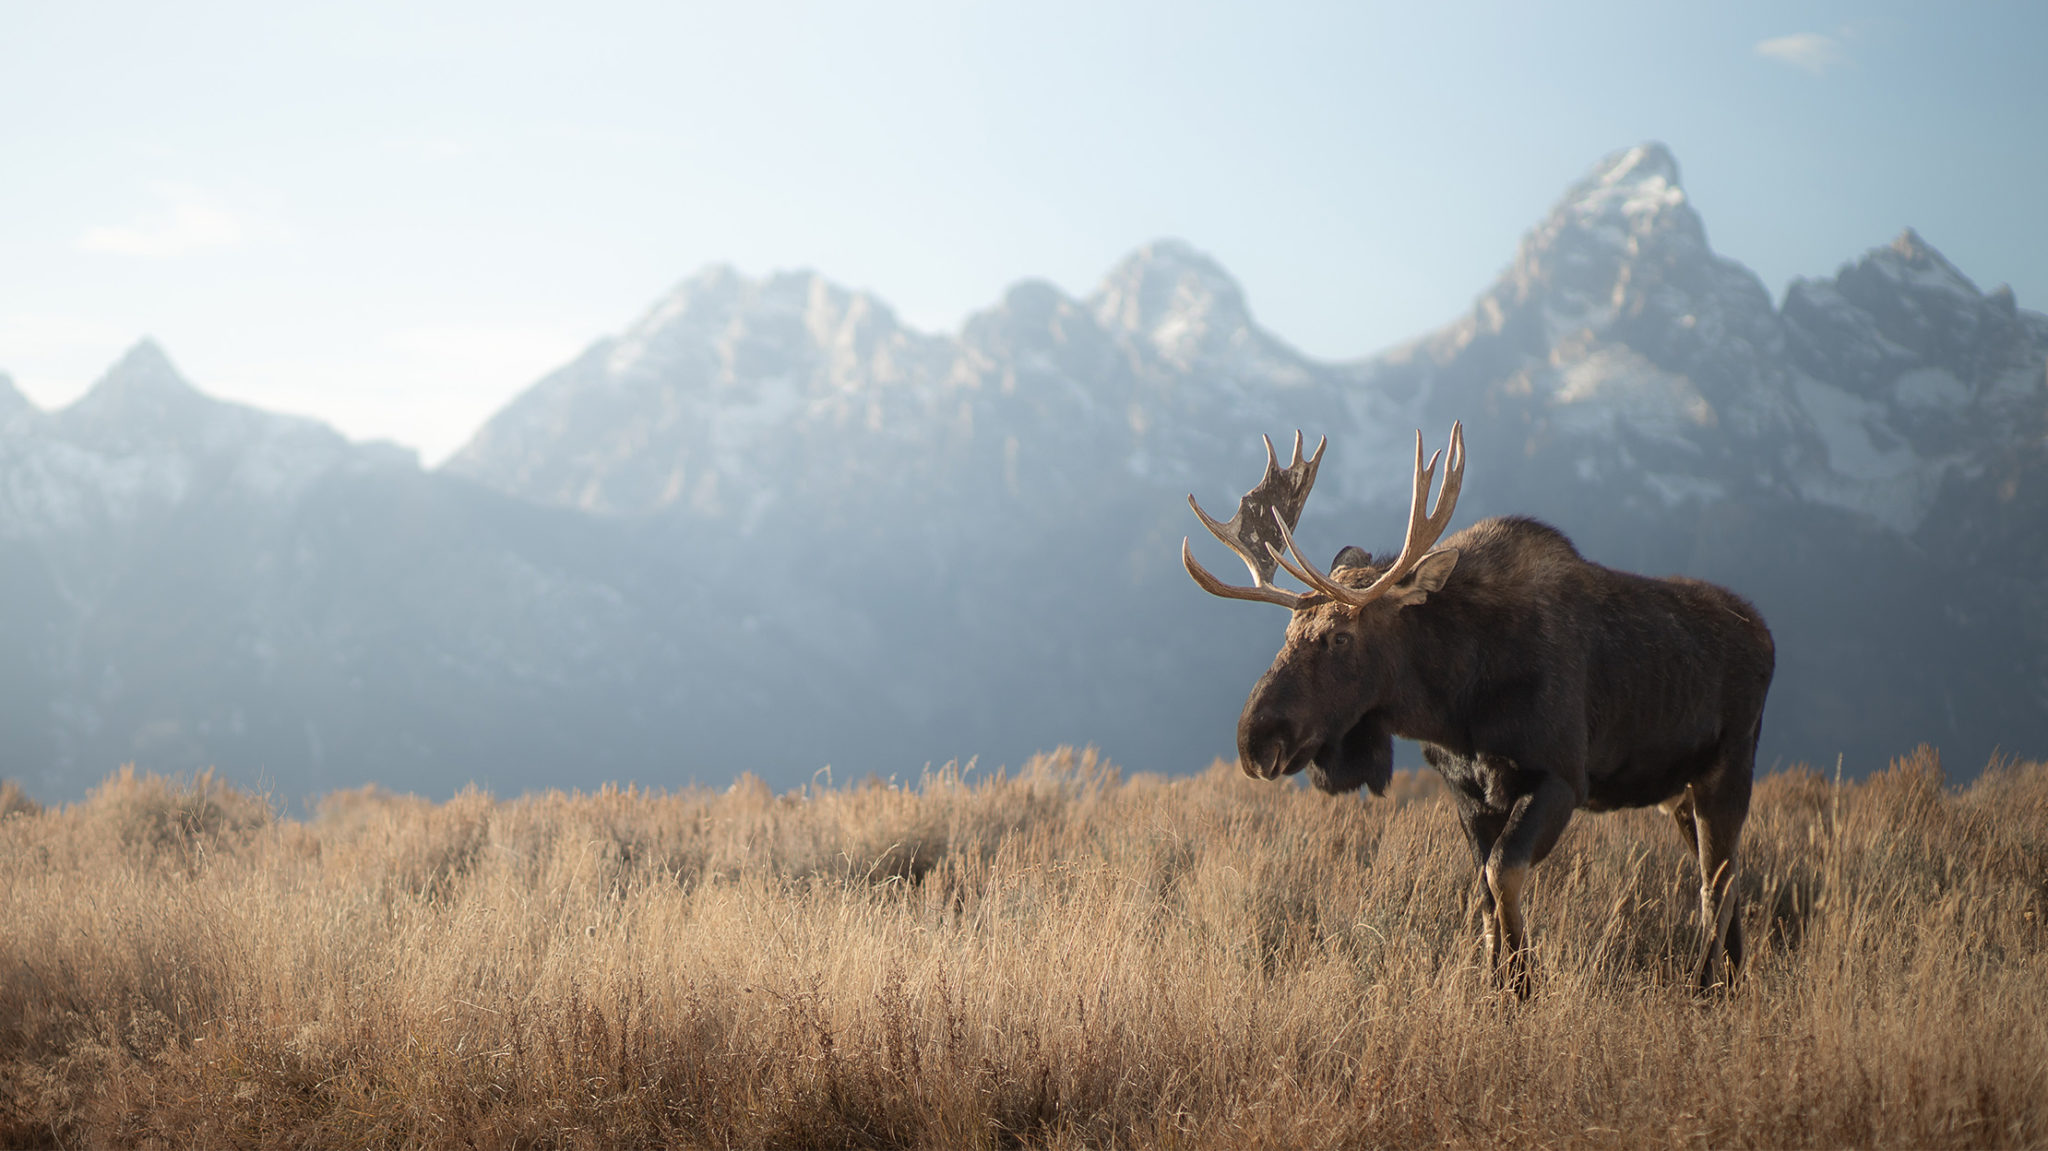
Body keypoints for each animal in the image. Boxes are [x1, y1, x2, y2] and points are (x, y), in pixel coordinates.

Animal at [1187, 425, 1777, 991]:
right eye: (1287, 632)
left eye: (1339, 636)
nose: (1254, 740)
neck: (1456, 704)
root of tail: (1765, 635)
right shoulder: (1467, 791)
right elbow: (1485, 893)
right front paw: (1497, 988)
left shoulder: (1560, 776)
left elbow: (1502, 874)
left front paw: (1522, 987)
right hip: (1680, 793)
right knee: (1724, 874)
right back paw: (1731, 980)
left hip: (1729, 769)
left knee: (1717, 883)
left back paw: (1705, 984)